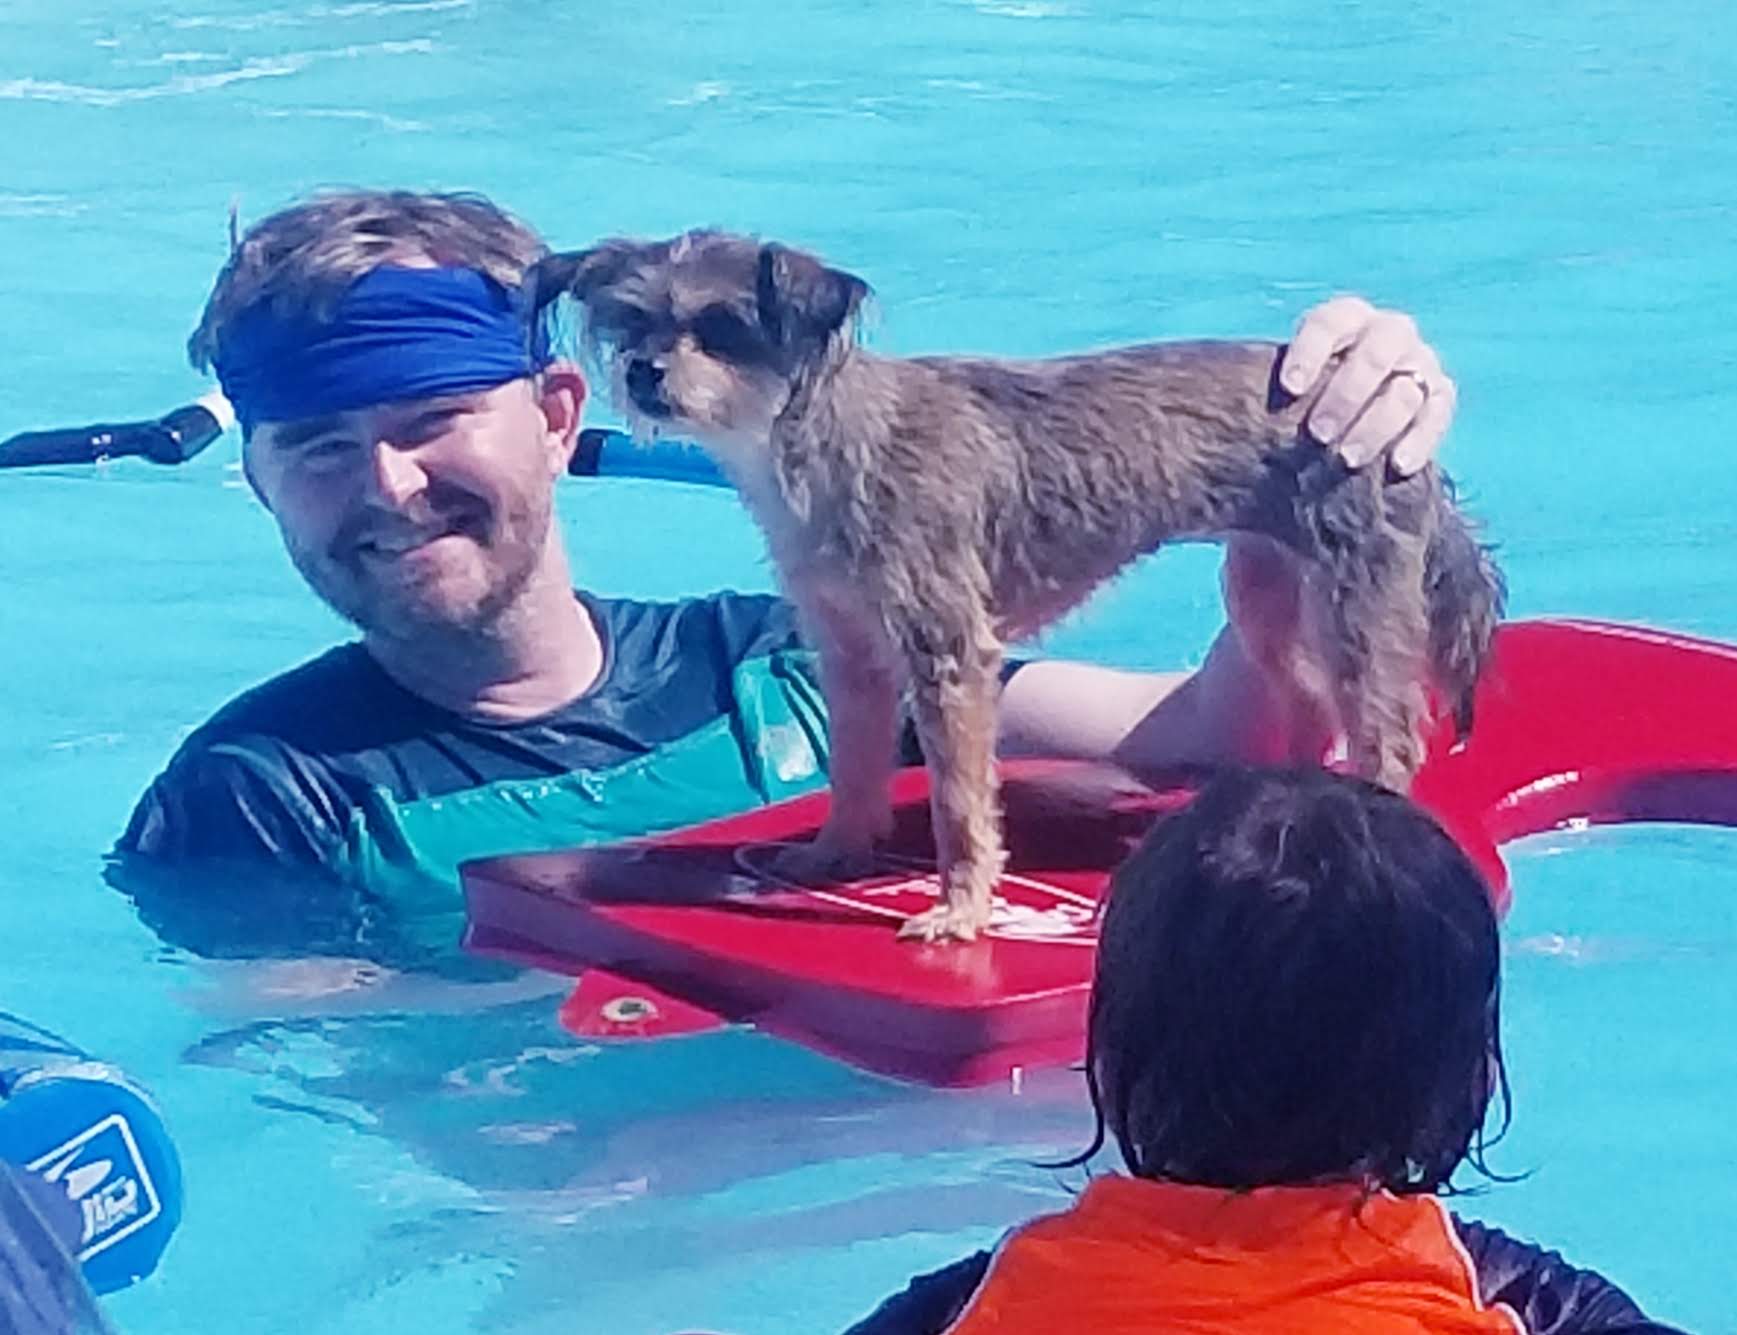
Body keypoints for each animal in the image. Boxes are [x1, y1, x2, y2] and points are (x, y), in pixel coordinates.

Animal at [530, 230, 1505, 942]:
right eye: (631, 322)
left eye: (722, 329)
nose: (645, 372)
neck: (812, 446)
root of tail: (1412, 455)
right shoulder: (850, 652)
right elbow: (853, 768)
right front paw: (834, 853)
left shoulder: (948, 654)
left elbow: (961, 805)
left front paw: (960, 910)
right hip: (1267, 592)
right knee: (1305, 710)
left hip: (1352, 602)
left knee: (1384, 736)